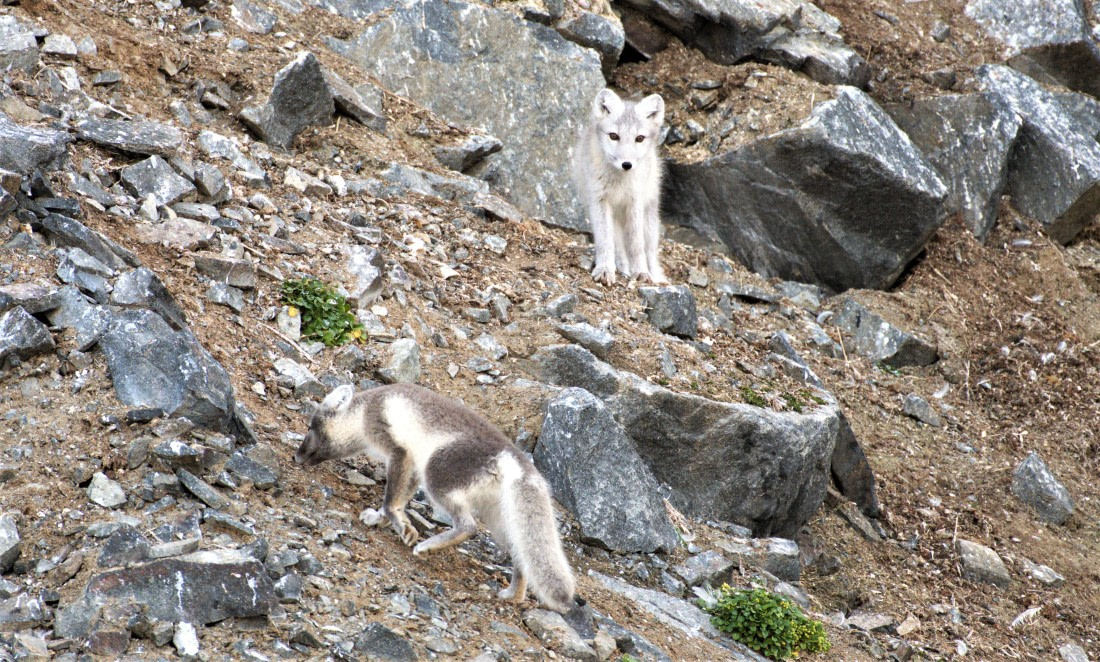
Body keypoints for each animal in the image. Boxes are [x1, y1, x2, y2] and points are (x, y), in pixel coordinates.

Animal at [294, 383, 577, 613]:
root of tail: (514, 457)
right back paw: (513, 595)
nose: (296, 457)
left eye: (310, 427)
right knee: (521, 555)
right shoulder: (412, 468)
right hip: (499, 517)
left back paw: (427, 547)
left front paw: (401, 527)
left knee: (468, 526)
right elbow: (398, 500)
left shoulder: (399, 451)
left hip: (436, 475)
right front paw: (380, 520)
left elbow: (391, 500)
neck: (364, 411)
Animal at [574, 87, 667, 286]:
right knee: (617, 245)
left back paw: (654, 275)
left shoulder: (635, 203)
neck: (619, 182)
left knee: (650, 250)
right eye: (614, 136)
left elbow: (636, 244)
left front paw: (641, 272)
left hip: (649, 219)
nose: (627, 164)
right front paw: (604, 270)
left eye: (639, 138)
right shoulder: (599, 201)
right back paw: (622, 267)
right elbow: (605, 241)